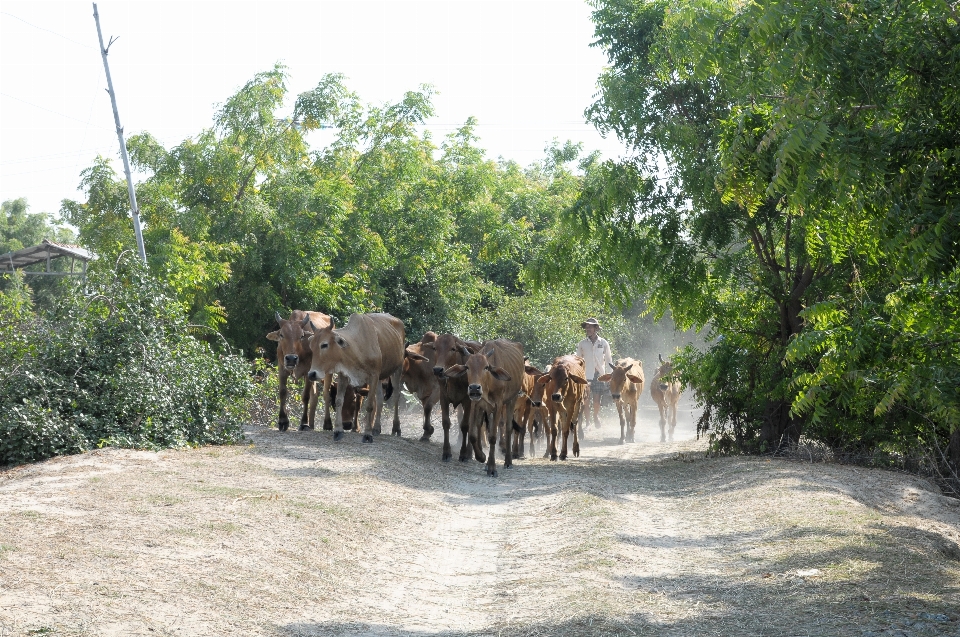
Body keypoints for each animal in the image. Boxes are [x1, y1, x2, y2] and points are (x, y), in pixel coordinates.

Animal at [308, 312, 412, 442]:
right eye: (311, 346)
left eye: (324, 344)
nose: (312, 374)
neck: (357, 347)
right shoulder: (344, 375)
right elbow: (339, 401)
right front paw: (338, 431)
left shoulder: (373, 376)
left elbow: (369, 405)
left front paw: (367, 434)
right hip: (380, 377)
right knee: (380, 399)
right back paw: (376, 428)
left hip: (397, 369)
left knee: (396, 396)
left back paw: (396, 428)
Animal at [444, 340, 524, 474]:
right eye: (467, 367)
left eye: (486, 367)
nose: (474, 388)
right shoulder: (475, 403)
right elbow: (472, 434)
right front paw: (481, 457)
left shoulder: (498, 405)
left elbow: (492, 436)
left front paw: (492, 467)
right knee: (481, 425)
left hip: (511, 400)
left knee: (508, 428)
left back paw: (508, 461)